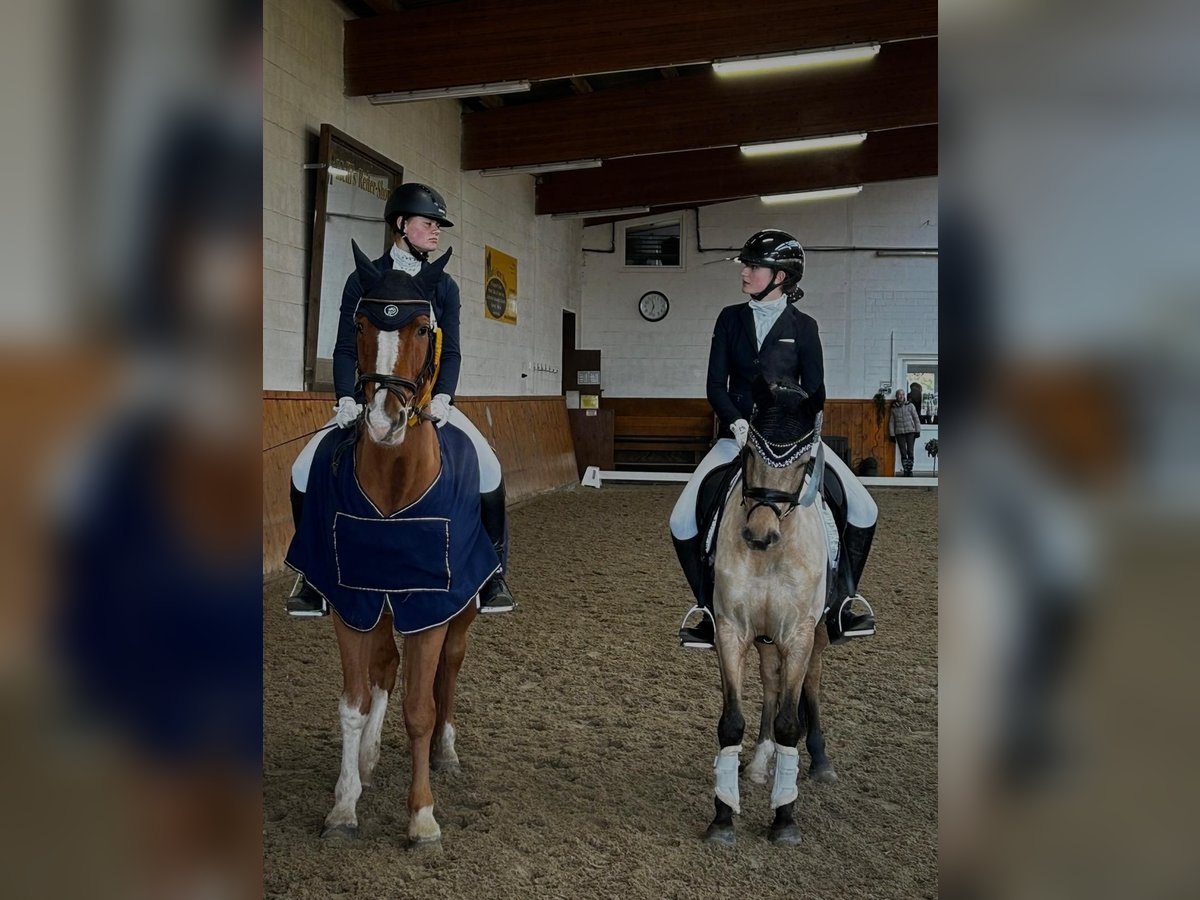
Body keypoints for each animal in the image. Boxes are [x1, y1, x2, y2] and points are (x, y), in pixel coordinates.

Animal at [700, 379, 835, 844]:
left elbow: (790, 722)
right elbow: (731, 722)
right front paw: (723, 816)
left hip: (816, 633)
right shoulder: (731, 630)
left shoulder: (798, 633)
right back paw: (761, 762)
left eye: (806, 463)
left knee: (810, 681)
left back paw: (820, 761)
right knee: (772, 681)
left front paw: (785, 817)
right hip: (764, 638)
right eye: (748, 455)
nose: (760, 535)